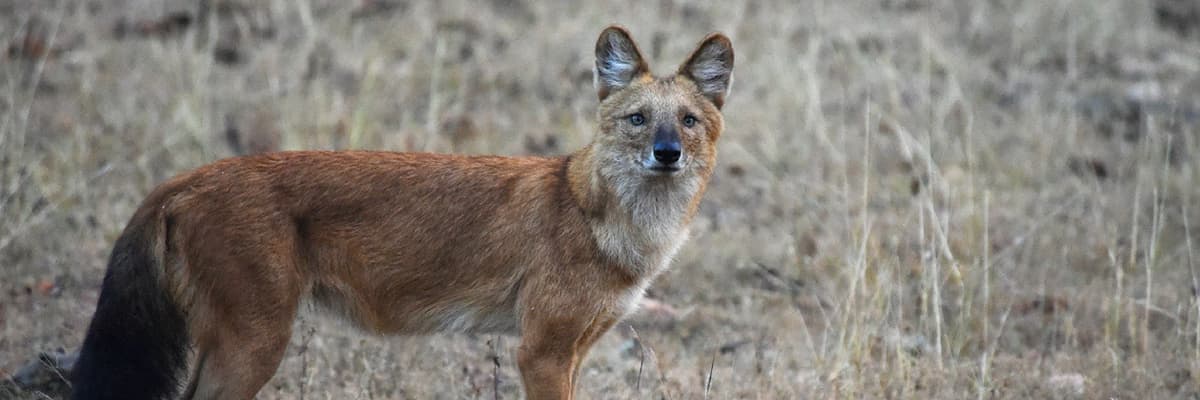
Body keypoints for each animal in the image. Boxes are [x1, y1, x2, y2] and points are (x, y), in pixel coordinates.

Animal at [72, 25, 729, 398]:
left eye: (688, 121)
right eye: (638, 119)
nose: (666, 153)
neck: (616, 227)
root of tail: (182, 179)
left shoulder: (575, 349)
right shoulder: (541, 351)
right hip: (256, 341)